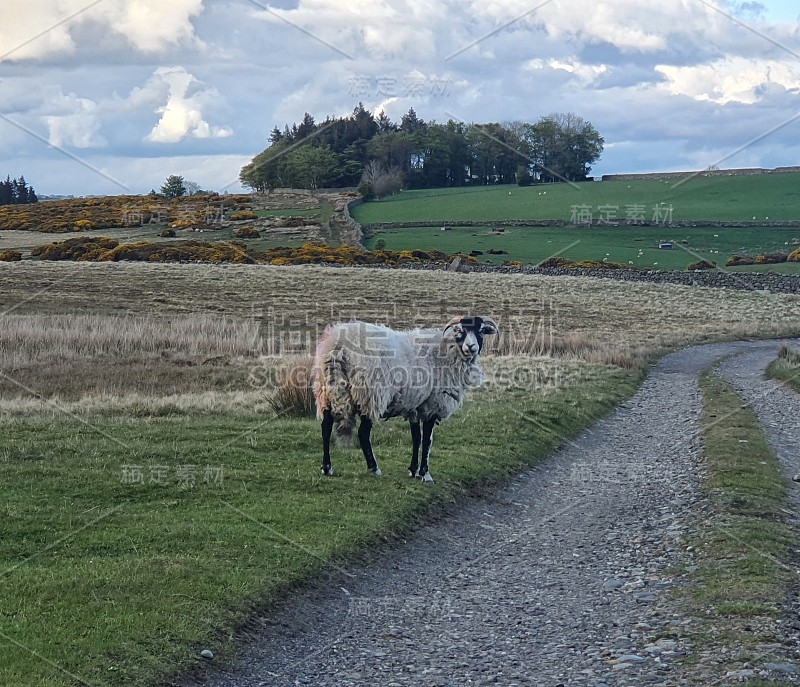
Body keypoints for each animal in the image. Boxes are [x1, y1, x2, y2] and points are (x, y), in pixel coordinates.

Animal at [312, 318, 500, 484]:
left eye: (481, 331)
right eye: (460, 330)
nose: (471, 347)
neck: (448, 351)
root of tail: (338, 345)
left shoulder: (415, 406)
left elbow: (416, 438)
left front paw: (413, 470)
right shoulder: (433, 404)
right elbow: (427, 440)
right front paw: (425, 474)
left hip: (326, 392)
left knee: (326, 427)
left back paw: (326, 467)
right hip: (371, 394)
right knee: (363, 432)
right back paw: (374, 468)